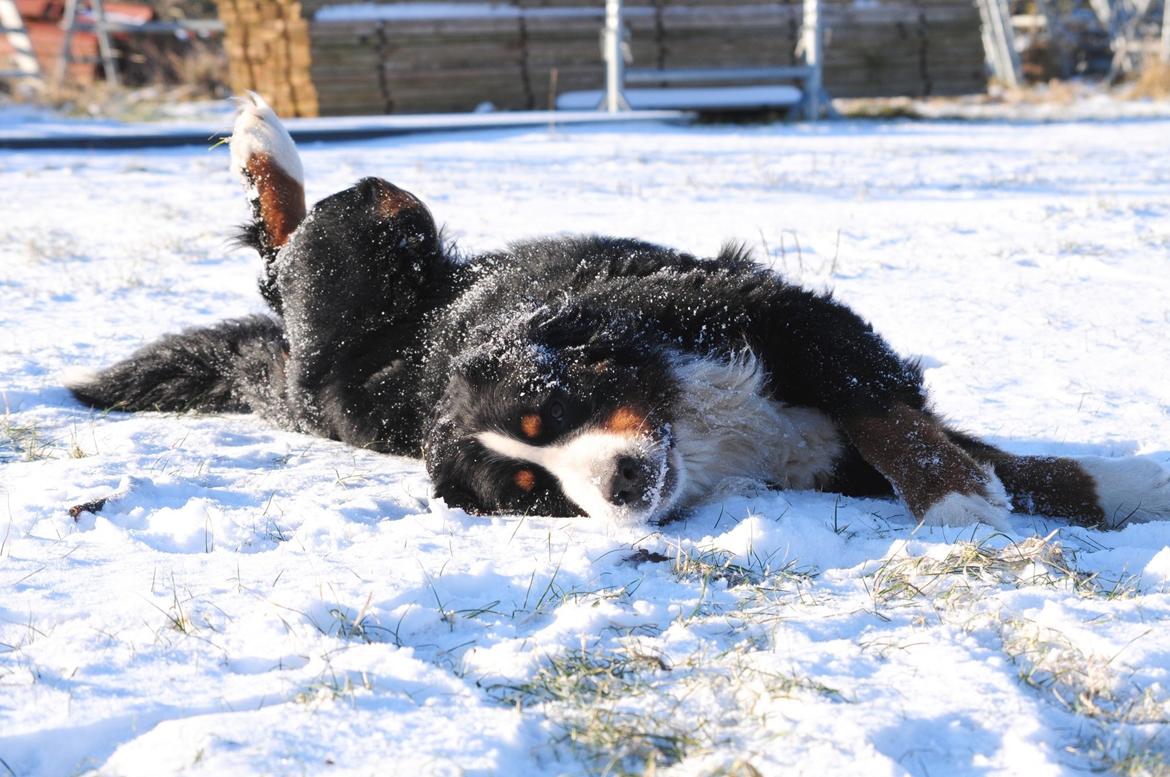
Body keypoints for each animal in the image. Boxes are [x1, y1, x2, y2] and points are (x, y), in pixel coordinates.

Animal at [66, 89, 1170, 528]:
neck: (695, 419)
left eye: (548, 412)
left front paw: (975, 489)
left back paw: (268, 140)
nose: (621, 483)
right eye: (535, 490)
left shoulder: (781, 316)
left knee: (306, 228)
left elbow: (903, 417)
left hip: (382, 220)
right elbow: (991, 459)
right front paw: (993, 491)